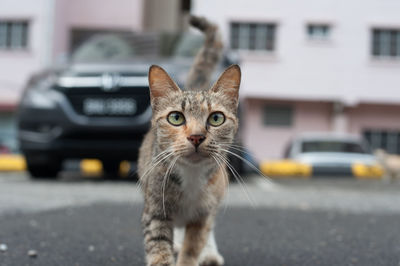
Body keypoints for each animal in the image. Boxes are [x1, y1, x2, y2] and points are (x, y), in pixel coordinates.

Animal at [138, 16, 241, 266]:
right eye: (176, 117)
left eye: (216, 118)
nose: (196, 136)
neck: (192, 176)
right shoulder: (155, 210)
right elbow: (158, 246)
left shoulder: (202, 215)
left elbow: (194, 244)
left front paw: (195, 254)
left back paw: (210, 253)